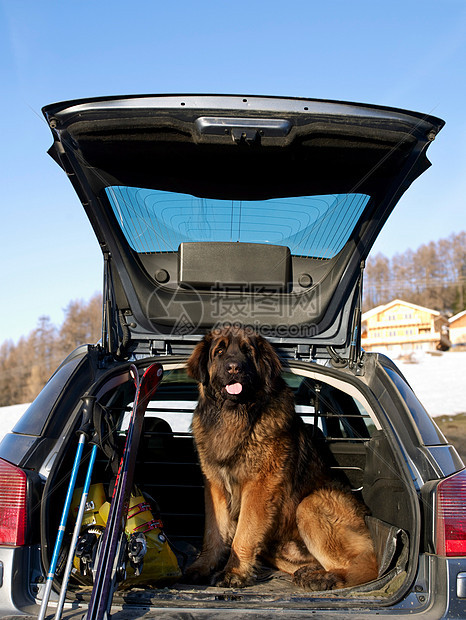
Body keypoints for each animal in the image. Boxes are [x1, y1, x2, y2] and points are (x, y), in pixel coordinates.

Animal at [184, 324, 376, 592]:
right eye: (219, 351)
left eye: (247, 351)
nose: (233, 368)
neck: (234, 415)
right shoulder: (215, 486)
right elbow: (213, 532)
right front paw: (203, 567)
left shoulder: (259, 487)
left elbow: (243, 534)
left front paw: (234, 573)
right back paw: (310, 572)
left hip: (310, 505)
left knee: (367, 565)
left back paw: (325, 578)